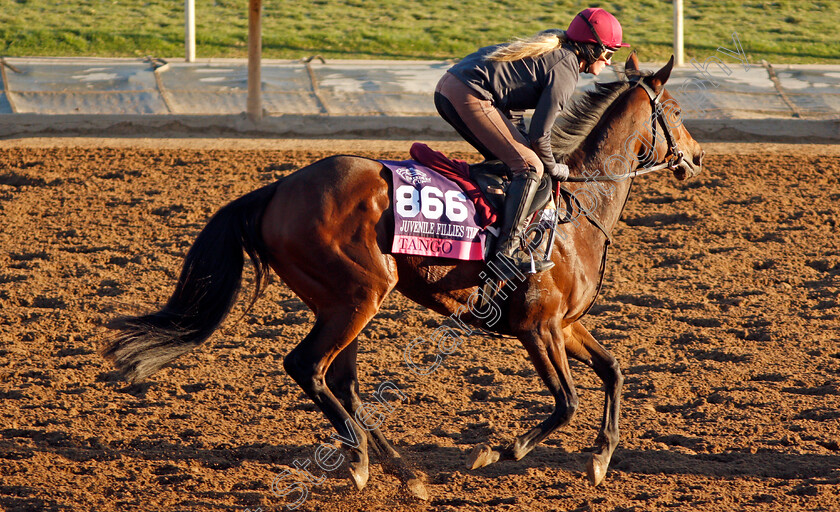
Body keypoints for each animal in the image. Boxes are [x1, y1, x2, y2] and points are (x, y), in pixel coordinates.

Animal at [100, 53, 704, 500]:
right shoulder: (538, 328)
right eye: (675, 108)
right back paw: (382, 466)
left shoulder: (566, 324)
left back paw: (383, 464)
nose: (697, 156)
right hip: (360, 294)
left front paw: (601, 458)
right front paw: (498, 450)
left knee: (340, 379)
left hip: (341, 300)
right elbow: (567, 400)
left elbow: (613, 370)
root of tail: (277, 189)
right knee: (307, 367)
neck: (577, 210)